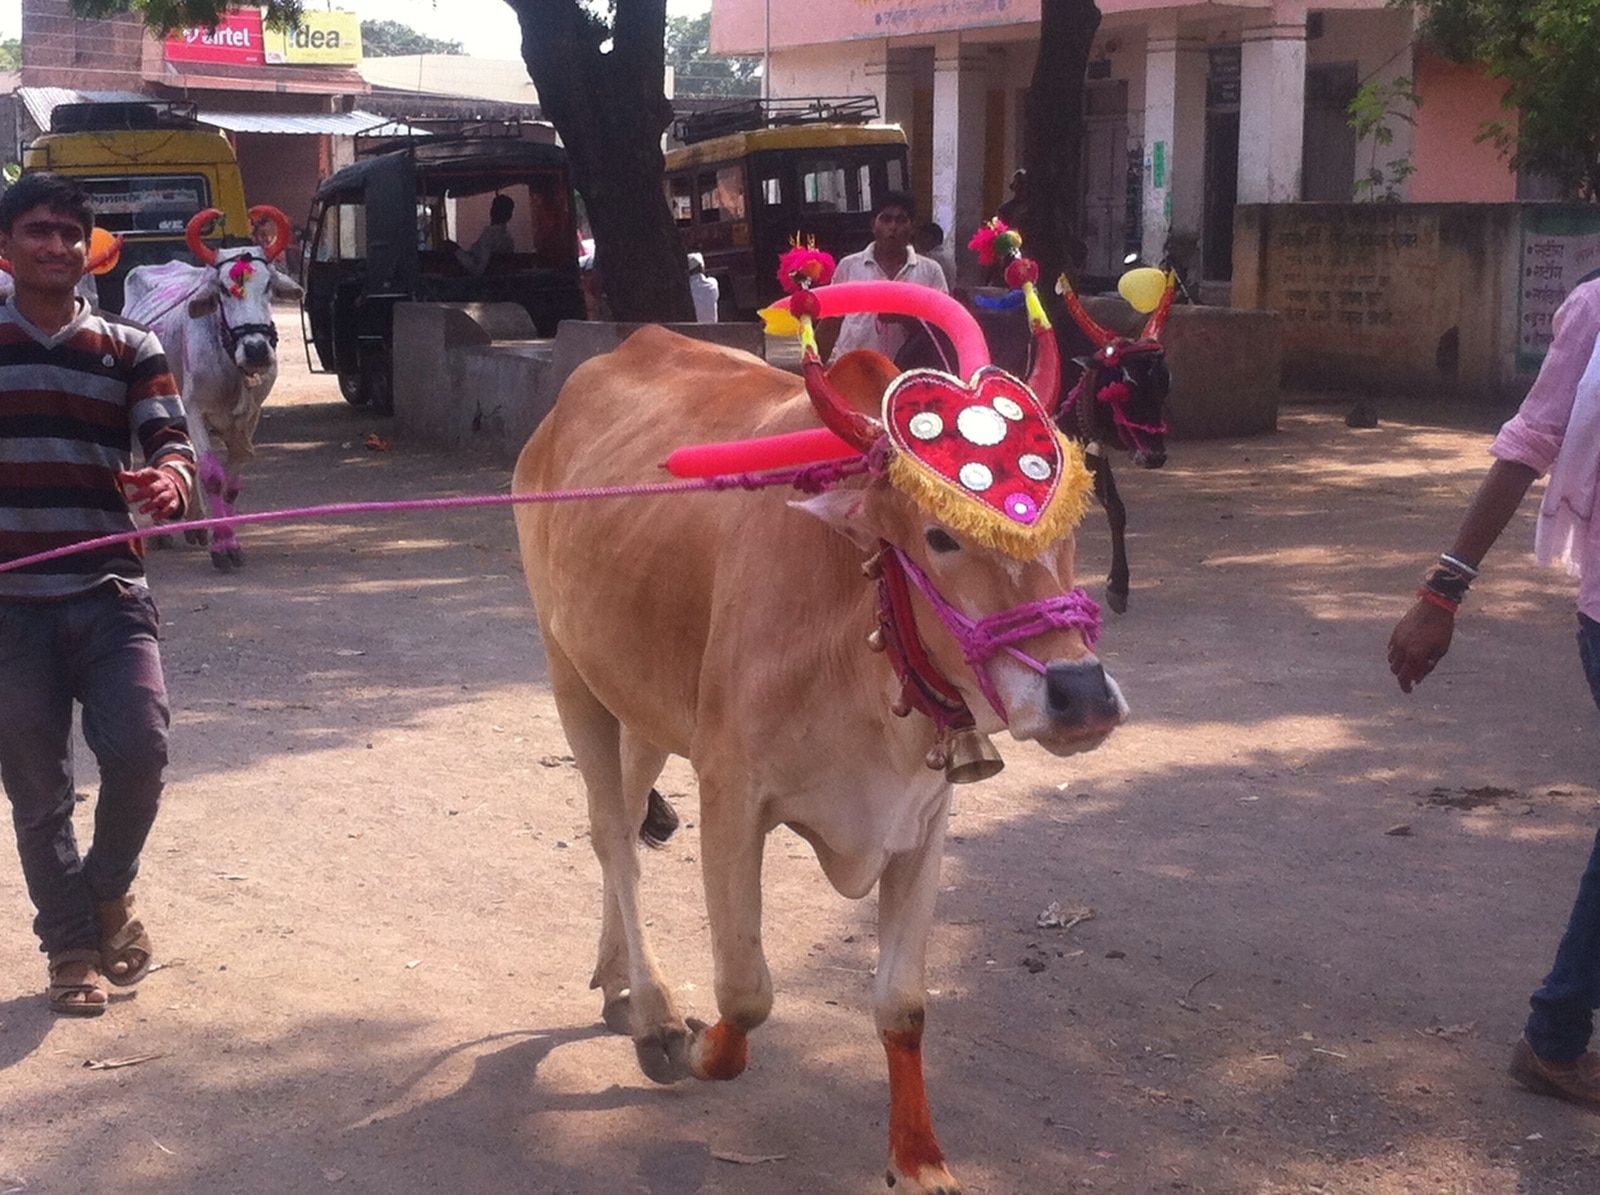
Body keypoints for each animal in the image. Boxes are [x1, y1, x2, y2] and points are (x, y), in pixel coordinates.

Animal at [512, 287, 1126, 1190]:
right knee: (611, 836)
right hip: (571, 674)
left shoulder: (921, 820)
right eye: (940, 535)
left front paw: (919, 1158)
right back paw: (654, 1012)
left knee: (618, 818)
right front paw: (695, 1047)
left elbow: (901, 1005)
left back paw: (617, 975)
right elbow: (746, 992)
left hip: (644, 700)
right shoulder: (732, 794)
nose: (1080, 695)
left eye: (1069, 525)